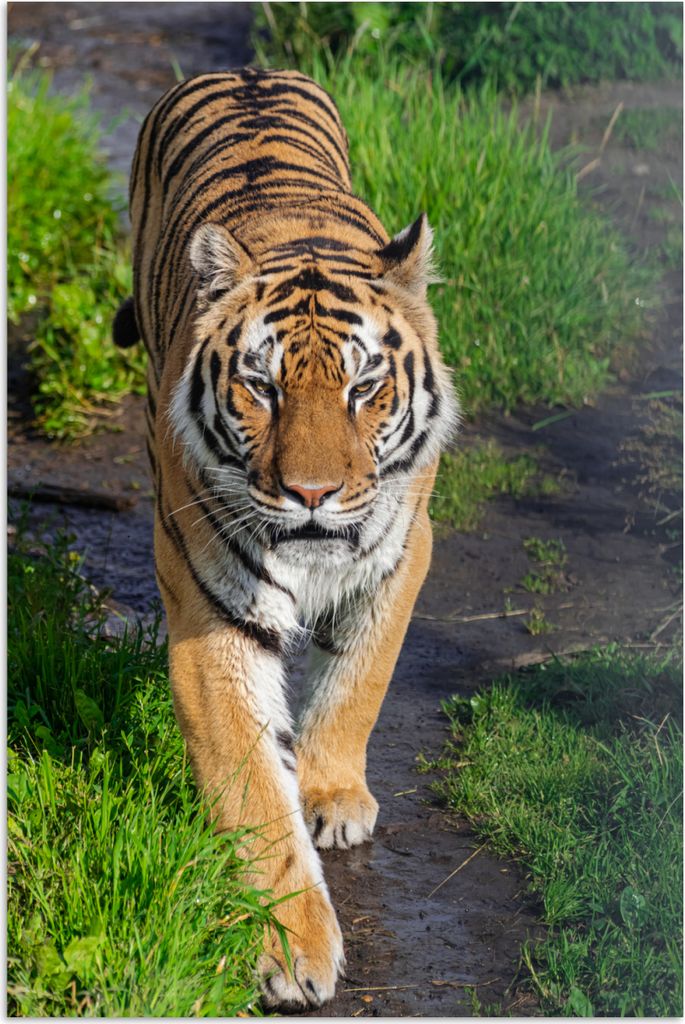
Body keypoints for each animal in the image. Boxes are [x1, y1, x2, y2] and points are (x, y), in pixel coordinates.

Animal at [113, 66, 458, 1009]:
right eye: (261, 387)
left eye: (364, 387)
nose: (310, 493)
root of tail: (246, 71)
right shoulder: (211, 612)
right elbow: (252, 795)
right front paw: (291, 951)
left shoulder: (403, 552)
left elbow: (360, 677)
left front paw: (333, 793)